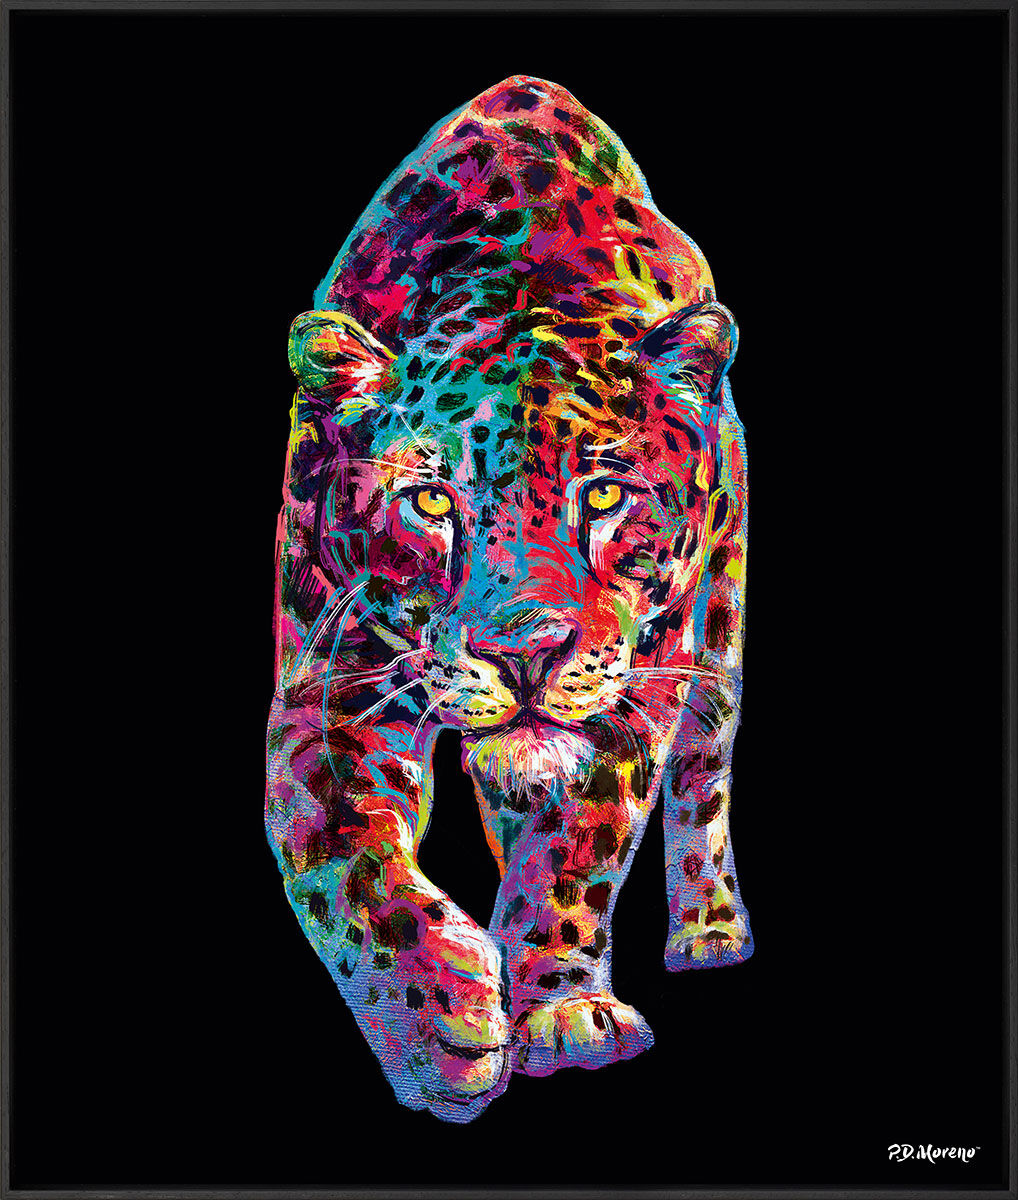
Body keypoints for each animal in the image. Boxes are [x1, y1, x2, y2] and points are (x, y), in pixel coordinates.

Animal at [265, 75, 753, 1123]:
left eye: (603, 496)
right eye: (432, 501)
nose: (525, 651)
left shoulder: (635, 688)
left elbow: (578, 845)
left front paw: (561, 1011)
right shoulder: (327, 689)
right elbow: (341, 861)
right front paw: (441, 1022)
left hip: (719, 635)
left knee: (705, 777)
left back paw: (709, 929)